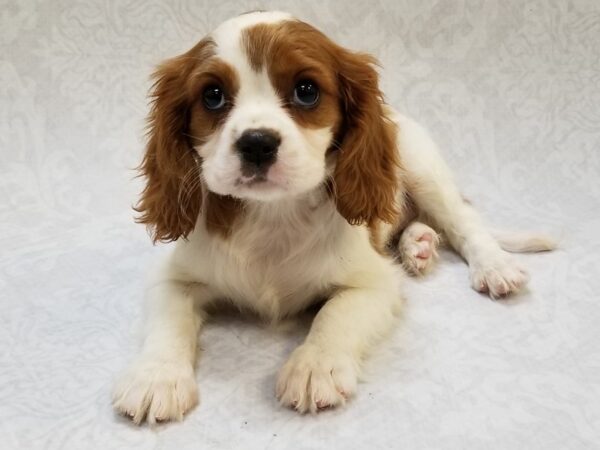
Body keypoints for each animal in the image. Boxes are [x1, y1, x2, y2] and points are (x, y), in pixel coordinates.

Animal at [111, 11, 552, 426]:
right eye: (213, 96)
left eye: (306, 91)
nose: (257, 143)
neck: (273, 214)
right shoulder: (173, 278)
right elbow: (169, 323)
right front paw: (156, 378)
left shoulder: (373, 284)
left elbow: (334, 315)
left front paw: (314, 367)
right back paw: (419, 245)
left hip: (421, 164)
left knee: (462, 220)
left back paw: (492, 265)